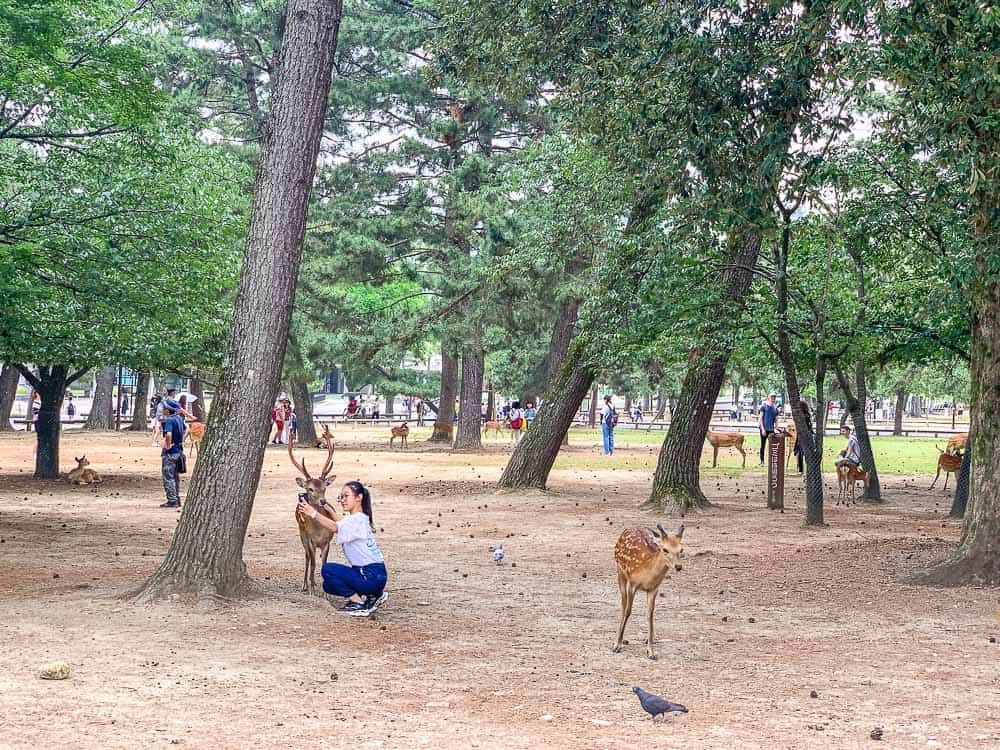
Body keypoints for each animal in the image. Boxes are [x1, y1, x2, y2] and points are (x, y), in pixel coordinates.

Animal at [286, 440, 340, 592]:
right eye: (310, 488)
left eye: (324, 487)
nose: (323, 501)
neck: (319, 531)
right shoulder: (310, 540)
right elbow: (313, 563)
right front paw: (312, 589)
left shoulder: (327, 541)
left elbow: (324, 565)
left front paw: (326, 592)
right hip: (302, 533)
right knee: (307, 558)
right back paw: (306, 584)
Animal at [608, 524, 688, 660]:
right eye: (665, 549)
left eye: (681, 549)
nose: (678, 566)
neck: (647, 574)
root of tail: (628, 529)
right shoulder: (632, 584)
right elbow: (628, 612)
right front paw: (617, 644)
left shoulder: (654, 589)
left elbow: (650, 615)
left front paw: (651, 651)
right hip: (620, 572)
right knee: (623, 604)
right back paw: (617, 640)